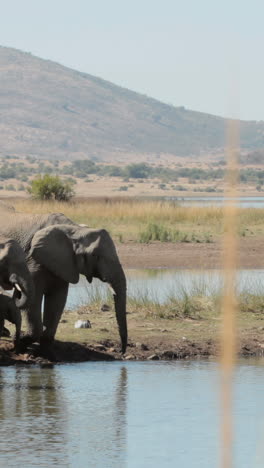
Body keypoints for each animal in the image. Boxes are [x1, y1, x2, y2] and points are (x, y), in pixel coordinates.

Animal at [0, 212, 128, 352]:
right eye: (95, 256)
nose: (121, 351)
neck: (75, 229)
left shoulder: (64, 264)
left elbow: (58, 300)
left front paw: (45, 349)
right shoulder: (33, 260)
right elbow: (34, 300)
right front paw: (22, 342)